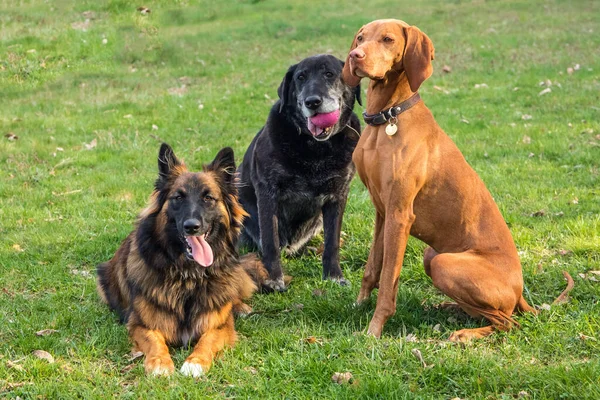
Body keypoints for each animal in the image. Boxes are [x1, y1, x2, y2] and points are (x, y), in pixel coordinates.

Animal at [97, 144, 264, 378]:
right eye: (178, 198)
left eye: (208, 198)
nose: (192, 226)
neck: (188, 276)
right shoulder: (140, 323)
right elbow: (154, 340)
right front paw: (159, 363)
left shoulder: (221, 326)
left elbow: (208, 339)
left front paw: (196, 362)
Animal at [238, 54, 360, 290]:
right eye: (300, 78)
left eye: (329, 74)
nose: (312, 102)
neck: (315, 148)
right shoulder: (268, 192)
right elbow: (270, 241)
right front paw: (273, 278)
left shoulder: (338, 195)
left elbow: (332, 243)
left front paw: (333, 275)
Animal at [340, 20, 568, 340]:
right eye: (360, 38)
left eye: (387, 39)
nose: (354, 56)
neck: (387, 119)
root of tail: (521, 291)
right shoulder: (382, 212)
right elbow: (372, 268)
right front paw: (358, 305)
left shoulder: (400, 214)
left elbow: (388, 280)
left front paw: (374, 330)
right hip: (431, 254)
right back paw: (448, 307)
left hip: (443, 262)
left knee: (509, 322)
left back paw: (464, 335)